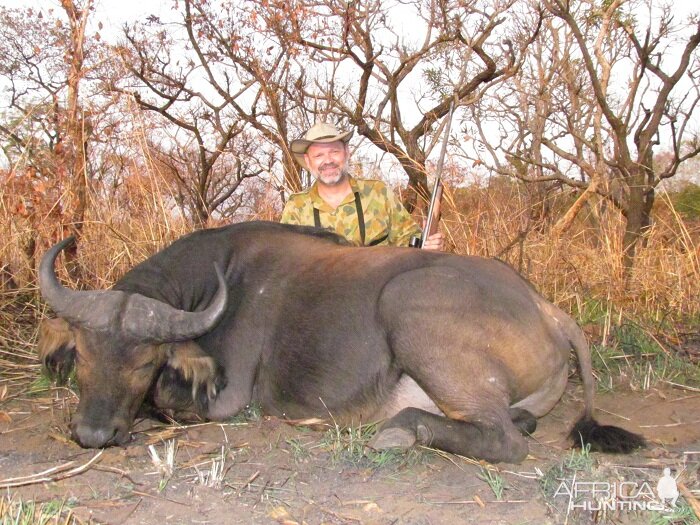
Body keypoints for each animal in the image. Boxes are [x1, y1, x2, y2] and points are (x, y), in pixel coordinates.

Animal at [35, 221, 644, 462]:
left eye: (145, 363)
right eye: (83, 356)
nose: (92, 435)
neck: (219, 279)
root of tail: (548, 310)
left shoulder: (227, 400)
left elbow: (166, 401)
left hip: (407, 309)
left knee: (504, 440)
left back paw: (399, 431)